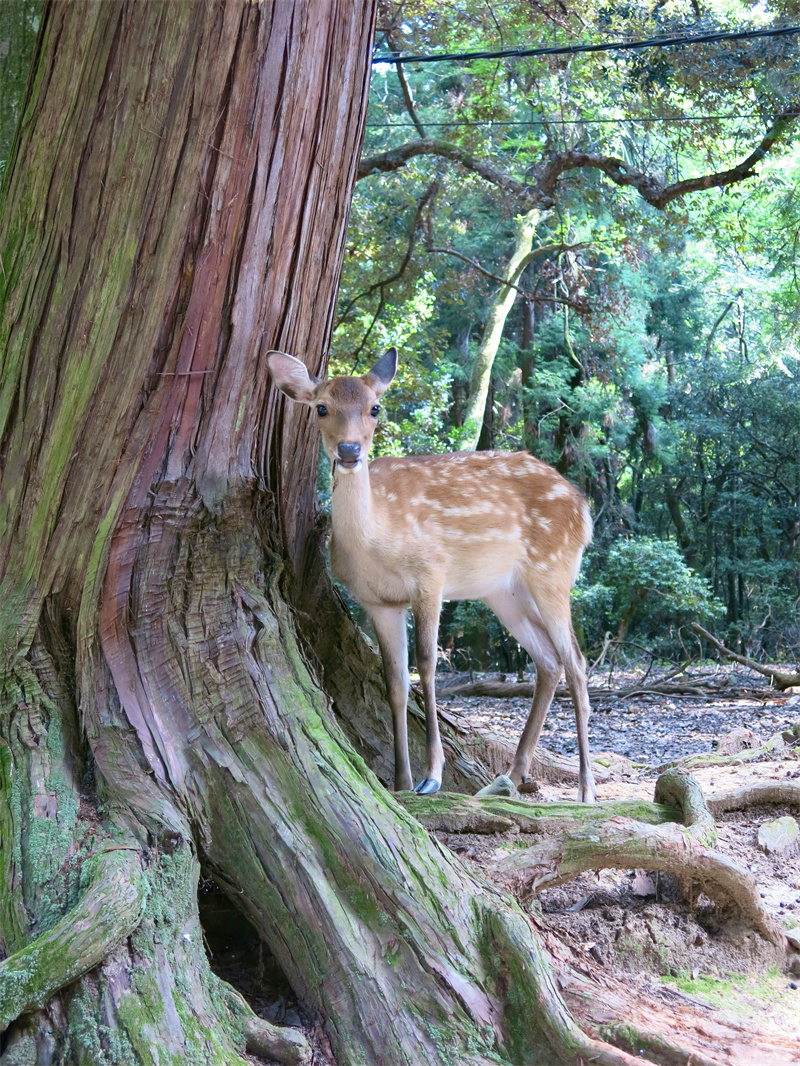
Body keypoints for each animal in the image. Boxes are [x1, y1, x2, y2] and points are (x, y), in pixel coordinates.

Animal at [270, 345, 601, 801]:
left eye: (375, 407)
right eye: (322, 407)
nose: (350, 451)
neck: (378, 541)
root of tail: (583, 508)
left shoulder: (430, 577)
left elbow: (426, 667)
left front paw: (432, 776)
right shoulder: (378, 602)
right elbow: (393, 682)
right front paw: (400, 781)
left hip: (553, 568)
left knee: (578, 664)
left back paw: (586, 791)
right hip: (504, 592)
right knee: (549, 661)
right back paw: (509, 777)